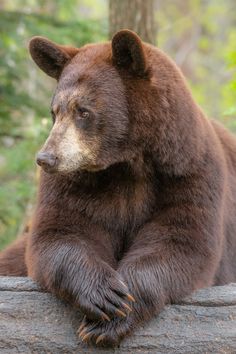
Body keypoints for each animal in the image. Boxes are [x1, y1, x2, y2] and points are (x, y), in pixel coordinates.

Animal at [0, 28, 236, 348]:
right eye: (55, 111)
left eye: (83, 111)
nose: (46, 158)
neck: (126, 165)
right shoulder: (73, 184)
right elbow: (61, 232)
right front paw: (104, 296)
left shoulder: (189, 170)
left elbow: (181, 240)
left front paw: (115, 317)